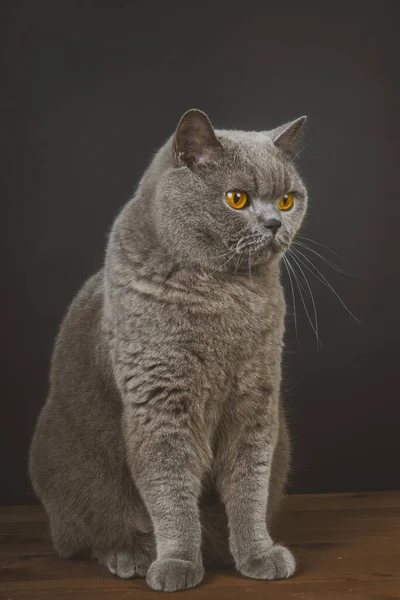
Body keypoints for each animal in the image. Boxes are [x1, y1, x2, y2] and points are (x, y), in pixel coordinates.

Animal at [29, 108, 308, 592]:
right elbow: (170, 488)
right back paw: (131, 556)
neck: (224, 294)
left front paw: (256, 554)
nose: (274, 223)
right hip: (67, 471)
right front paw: (177, 561)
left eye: (288, 200)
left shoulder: (256, 401)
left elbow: (249, 483)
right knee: (92, 532)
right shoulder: (160, 401)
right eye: (237, 199)